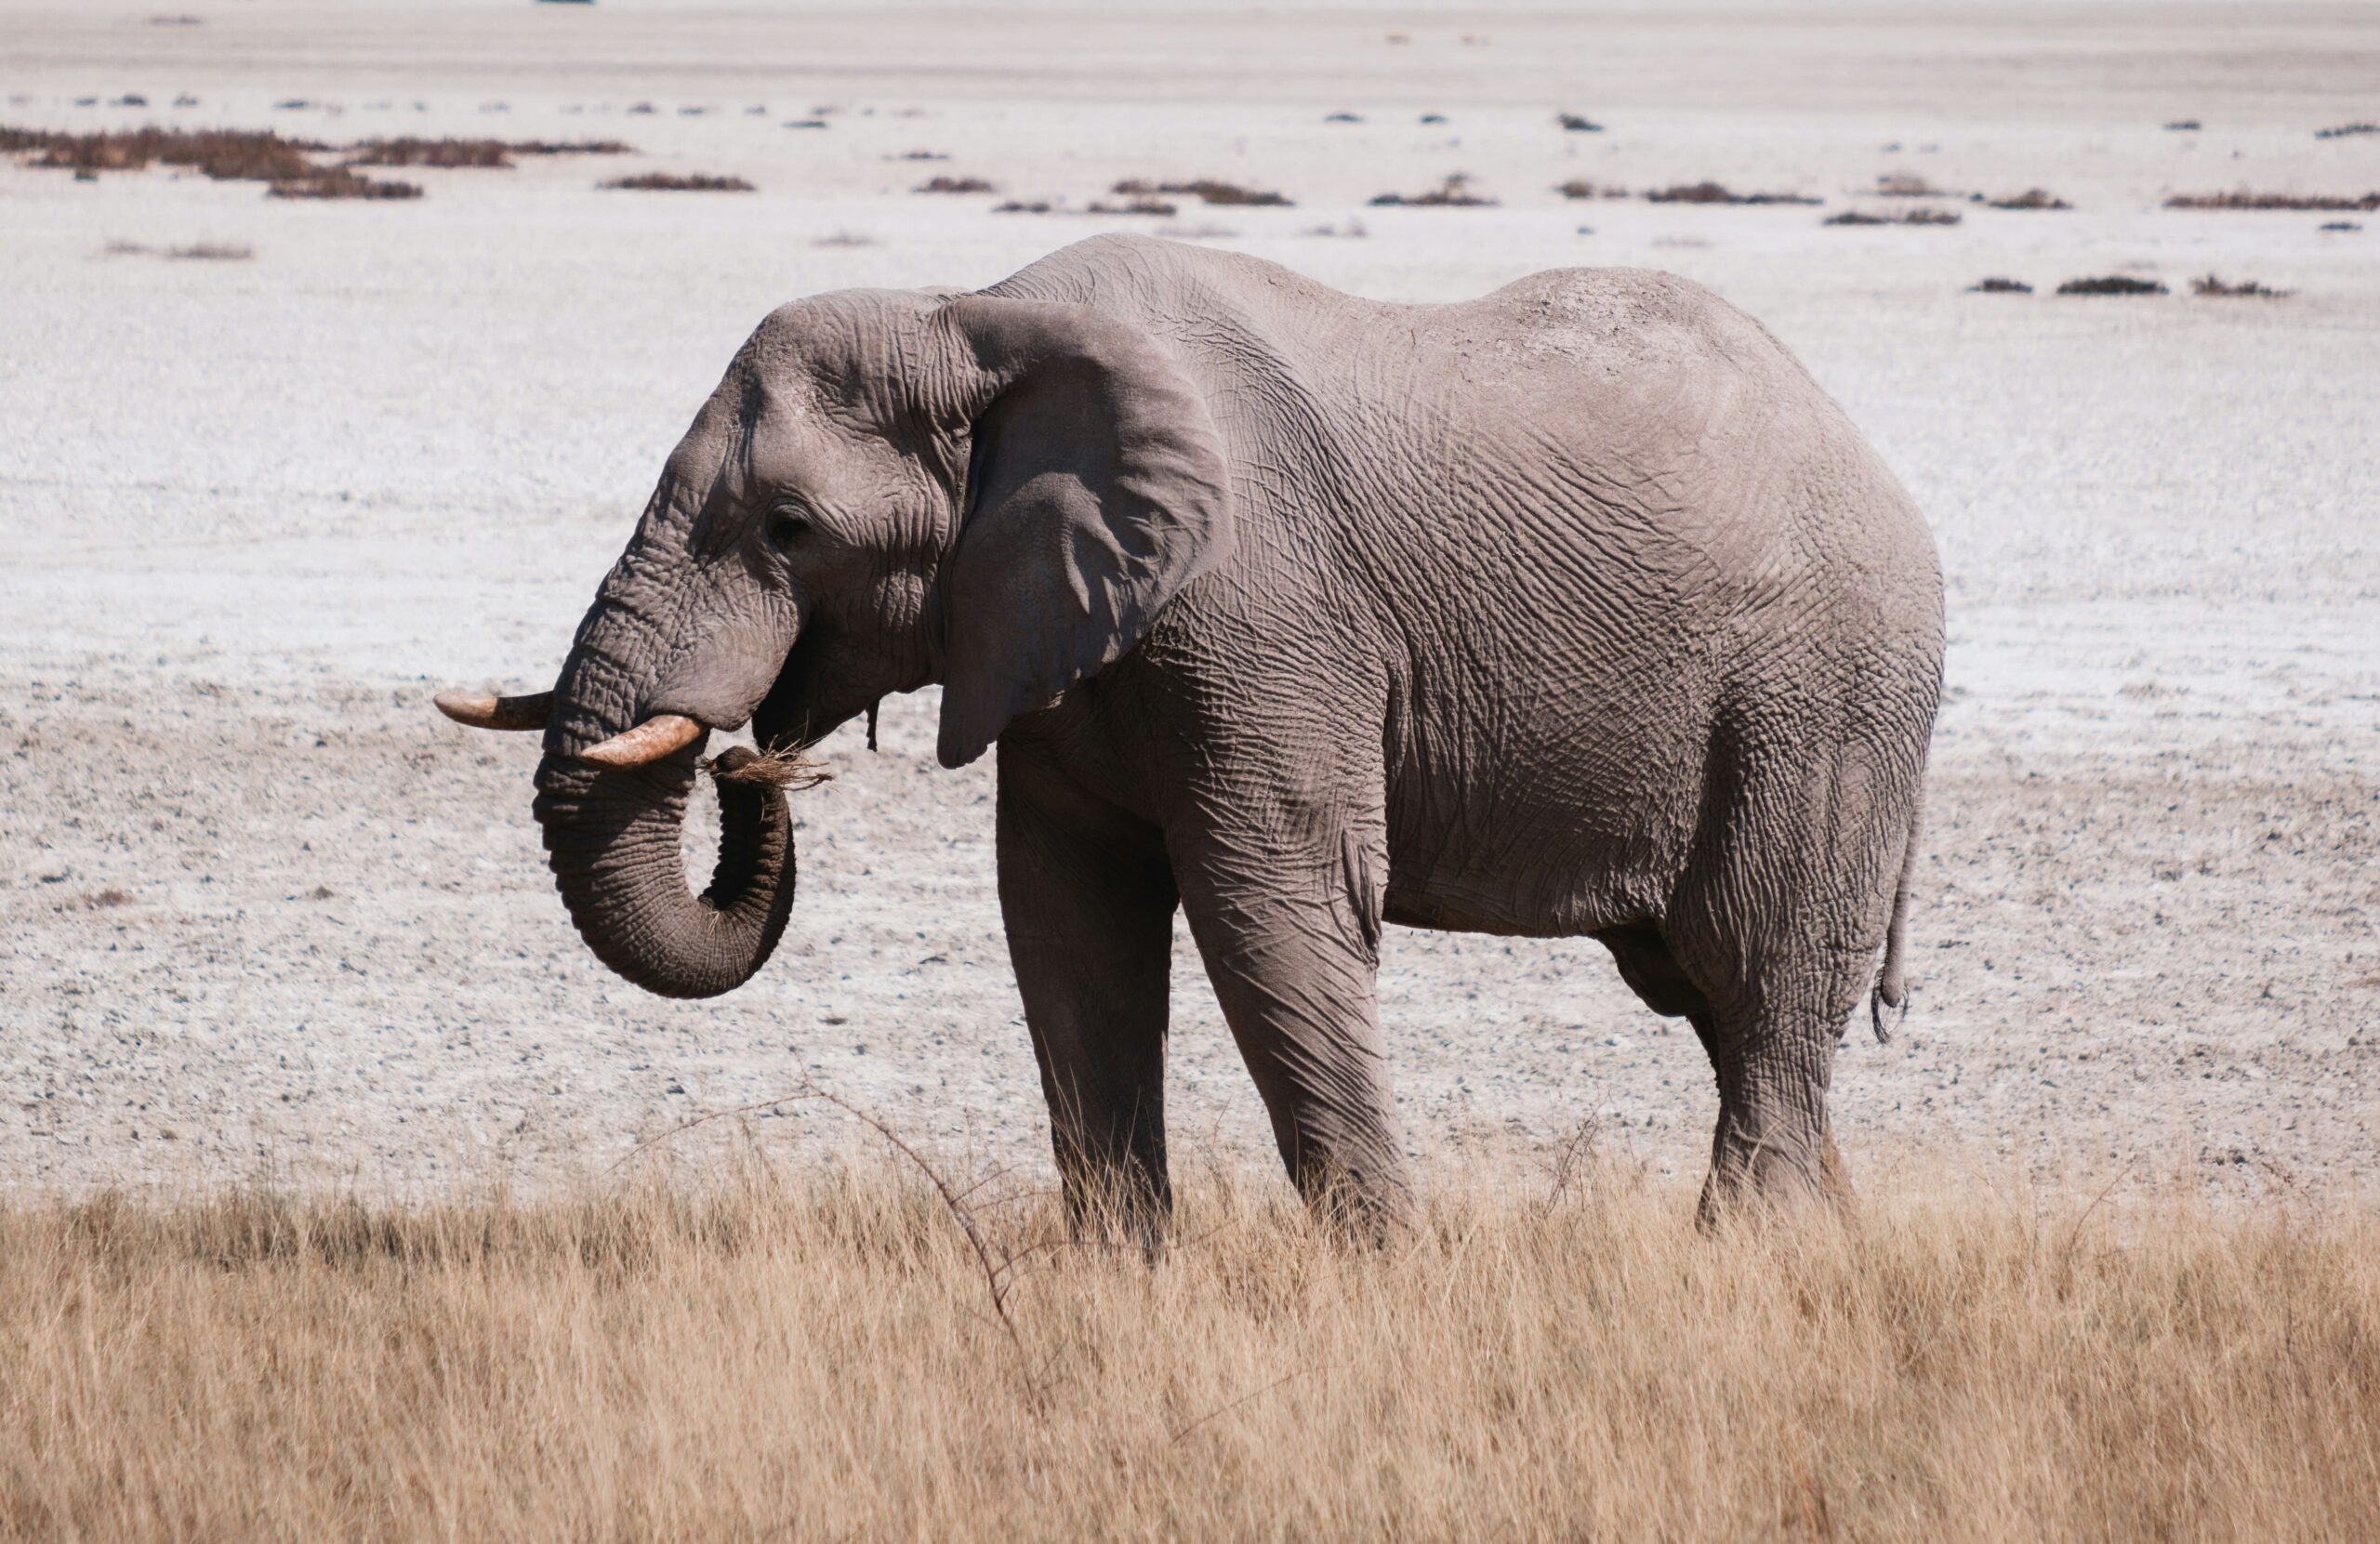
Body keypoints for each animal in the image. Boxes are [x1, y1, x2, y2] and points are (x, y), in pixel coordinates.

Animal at [438, 233, 1943, 1235]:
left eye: (789, 528)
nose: (759, 753)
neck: (977, 315)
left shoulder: (1264, 612)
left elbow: (1269, 903)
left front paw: (1392, 1279)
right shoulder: (1056, 624)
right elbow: (1064, 915)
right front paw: (1119, 1277)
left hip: (1822, 704)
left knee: (1759, 977)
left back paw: (1745, 1259)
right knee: (1721, 1002)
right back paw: (1833, 1243)